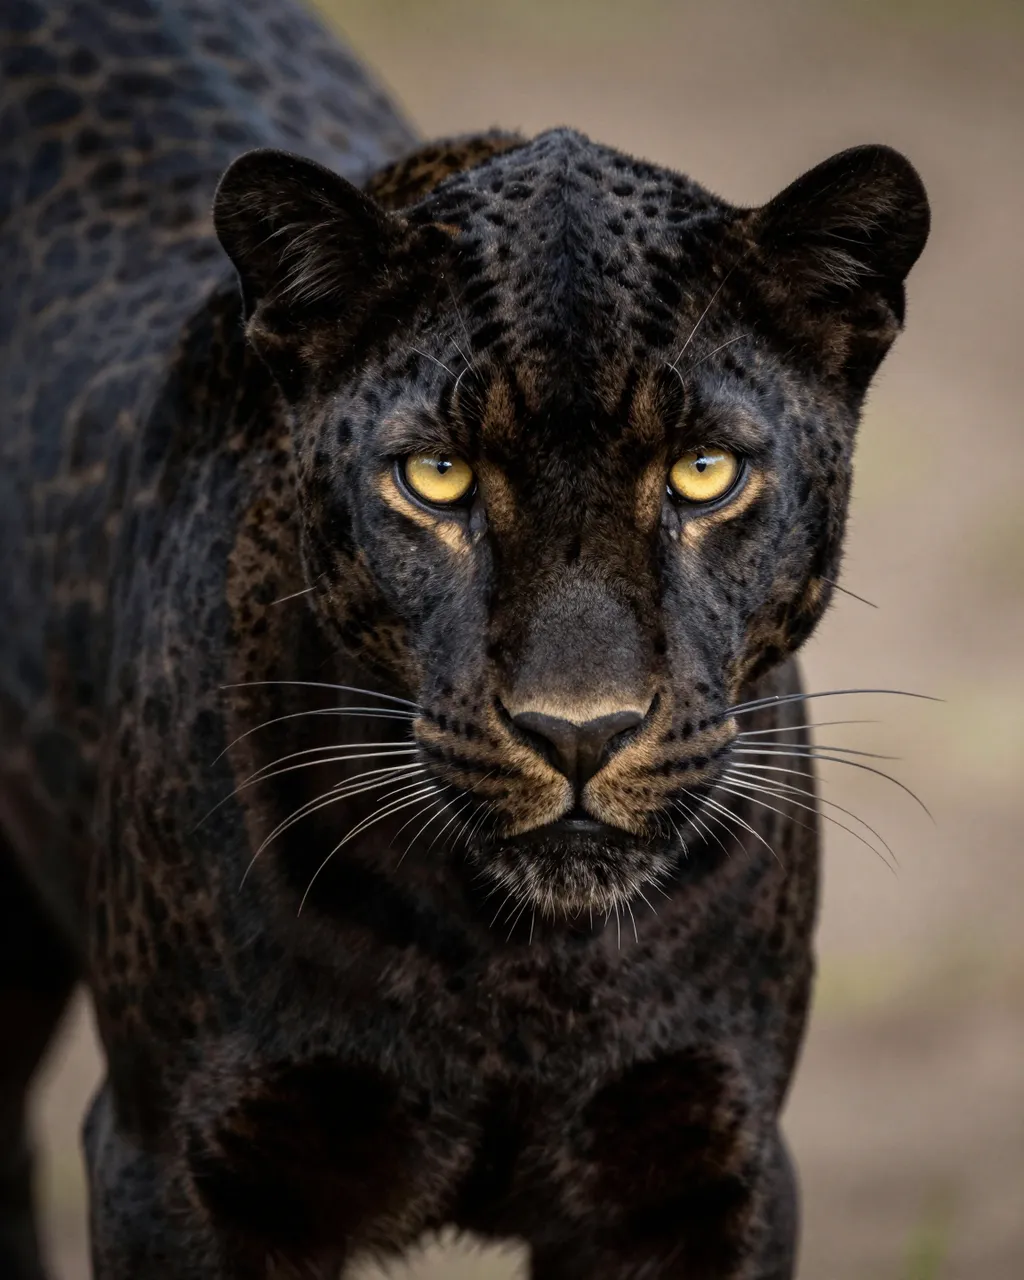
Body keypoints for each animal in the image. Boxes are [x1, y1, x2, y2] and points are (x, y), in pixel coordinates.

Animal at [0, 1, 930, 1277]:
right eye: (436, 477)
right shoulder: (179, 1161)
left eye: (703, 470)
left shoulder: (705, 1160)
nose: (577, 732)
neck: (514, 960)